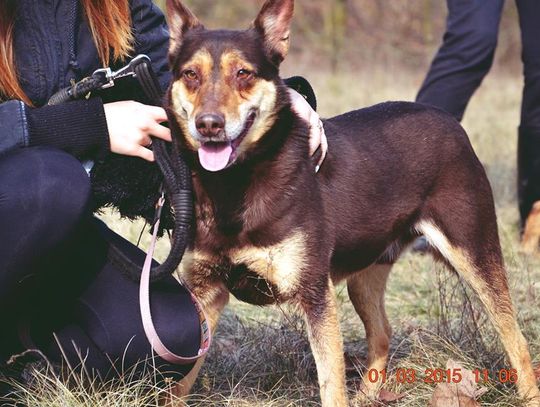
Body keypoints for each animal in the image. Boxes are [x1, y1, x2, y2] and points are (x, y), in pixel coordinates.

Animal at [163, 0, 540, 404]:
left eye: (243, 73)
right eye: (190, 74)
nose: (209, 124)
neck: (233, 186)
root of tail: (447, 120)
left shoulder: (315, 294)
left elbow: (331, 383)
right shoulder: (206, 292)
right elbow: (179, 379)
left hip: (474, 253)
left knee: (514, 336)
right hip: (366, 272)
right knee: (383, 334)